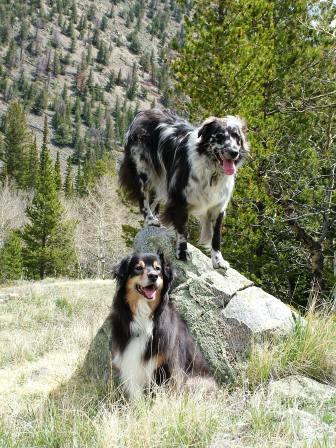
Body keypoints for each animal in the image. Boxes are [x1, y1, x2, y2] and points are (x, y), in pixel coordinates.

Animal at [109, 252, 210, 400]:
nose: (153, 276)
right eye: (138, 268)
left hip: (195, 383)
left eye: (158, 269)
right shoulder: (130, 363)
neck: (144, 315)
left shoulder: (168, 366)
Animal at [119, 108, 249, 270]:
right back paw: (150, 220)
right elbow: (183, 231)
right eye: (219, 136)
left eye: (236, 137)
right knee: (143, 200)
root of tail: (144, 112)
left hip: (161, 180)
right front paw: (182, 253)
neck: (212, 170)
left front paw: (218, 260)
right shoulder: (180, 199)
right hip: (144, 171)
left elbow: (216, 237)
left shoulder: (218, 207)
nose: (234, 152)